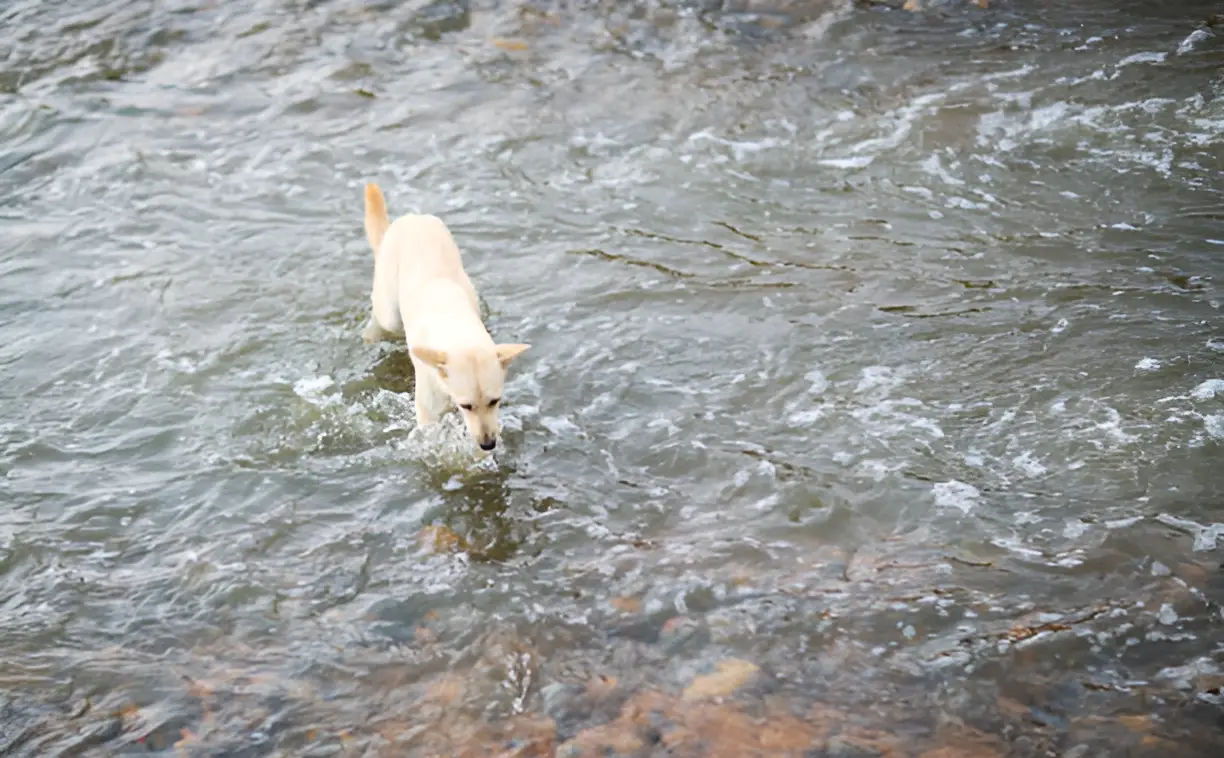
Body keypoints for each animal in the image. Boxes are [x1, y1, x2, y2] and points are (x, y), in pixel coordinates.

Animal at [359, 183, 528, 450]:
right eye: (466, 405)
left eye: (495, 401)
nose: (489, 444)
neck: (455, 324)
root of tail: (410, 218)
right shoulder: (428, 410)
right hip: (389, 313)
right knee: (380, 318)